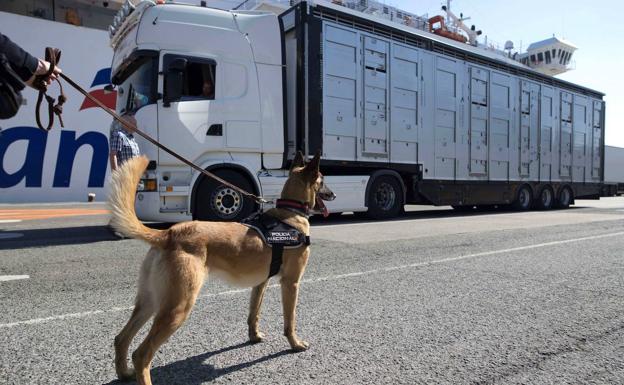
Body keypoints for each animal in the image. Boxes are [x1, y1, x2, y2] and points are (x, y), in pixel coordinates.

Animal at [111, 150, 336, 384]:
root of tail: (169, 233)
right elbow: (290, 320)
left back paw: (124, 373)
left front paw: (254, 336)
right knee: (142, 354)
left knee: (121, 338)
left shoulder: (260, 284)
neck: (290, 212)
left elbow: (253, 314)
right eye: (322, 181)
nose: (334, 195)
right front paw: (295, 344)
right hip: (178, 307)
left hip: (151, 301)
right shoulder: (291, 283)